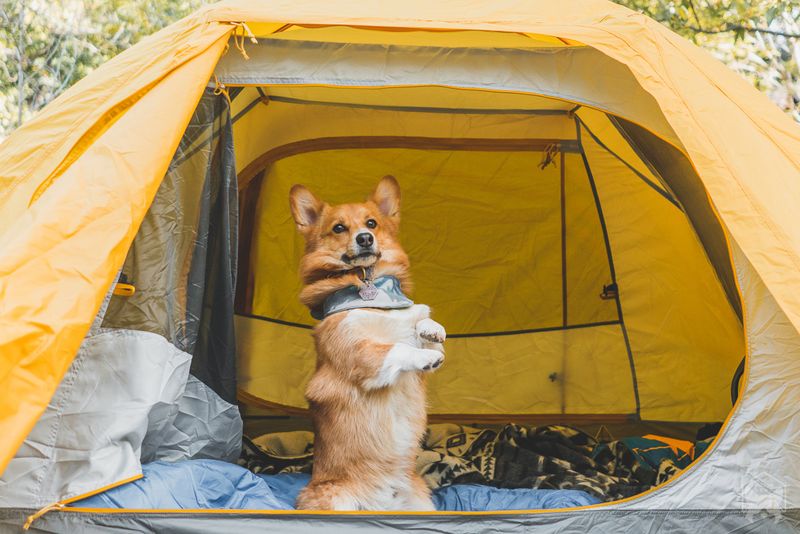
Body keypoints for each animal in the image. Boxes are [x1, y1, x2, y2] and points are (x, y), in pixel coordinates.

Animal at [290, 177, 446, 516]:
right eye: (339, 228)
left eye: (371, 223)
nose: (365, 238)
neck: (373, 291)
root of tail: (382, 505)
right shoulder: (358, 353)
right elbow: (397, 349)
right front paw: (424, 355)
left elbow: (422, 325)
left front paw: (431, 330)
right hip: (338, 503)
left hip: (421, 505)